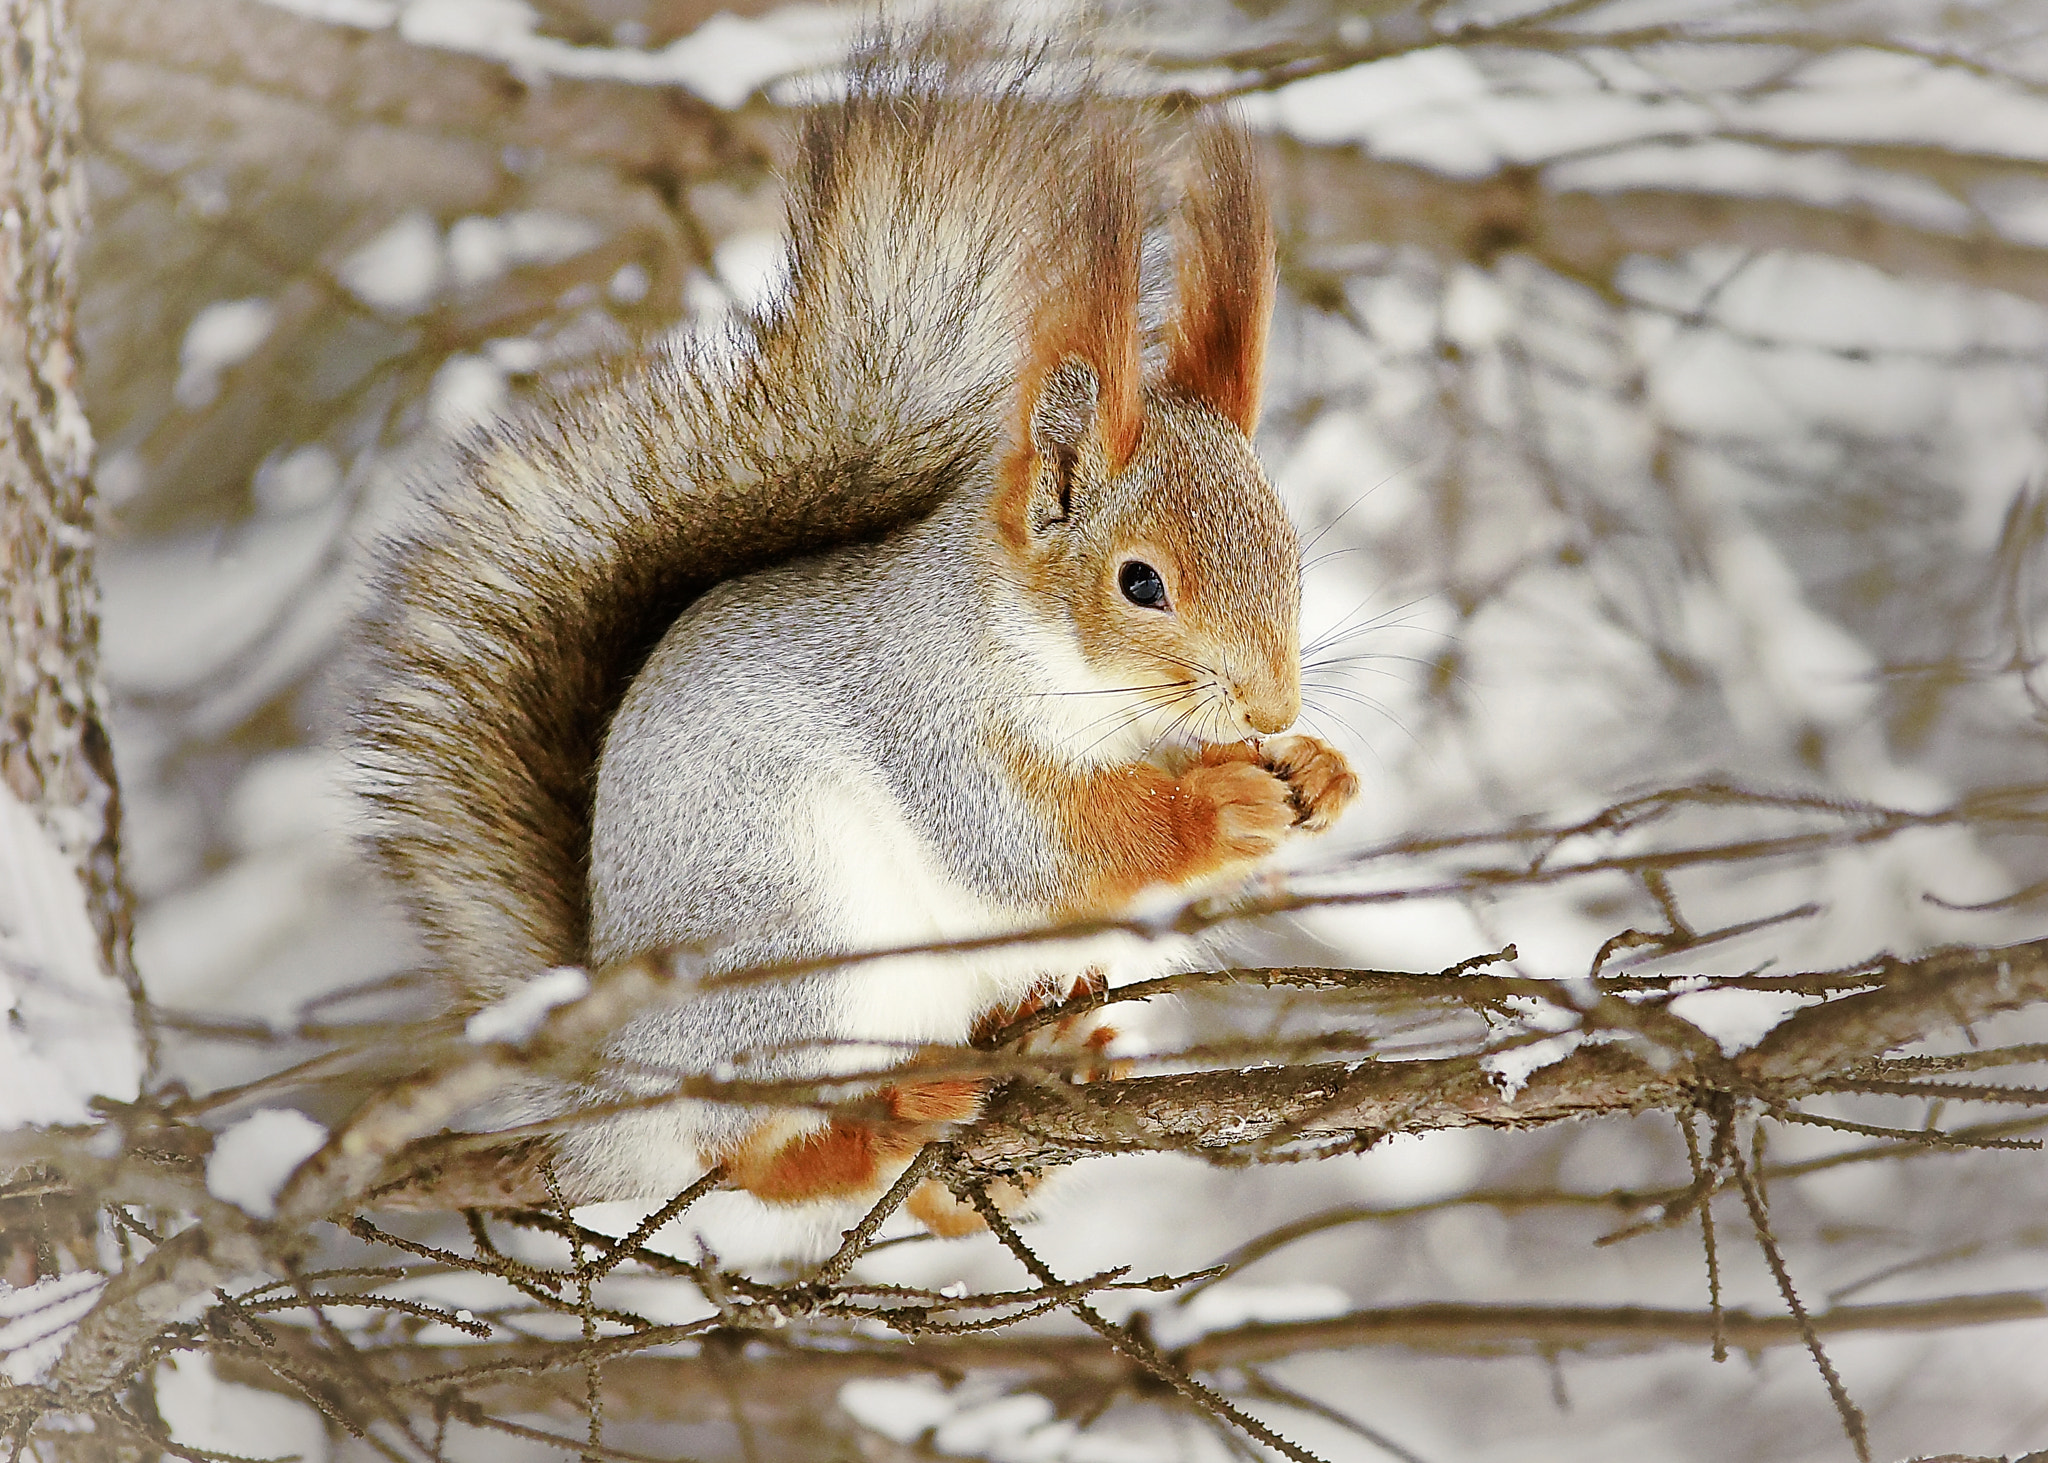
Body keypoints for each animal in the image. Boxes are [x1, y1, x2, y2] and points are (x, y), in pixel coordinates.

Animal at [358, 28, 1359, 1221]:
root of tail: (614, 1095)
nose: (1271, 705)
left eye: (1290, 546)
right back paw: (894, 1118)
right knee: (757, 1151)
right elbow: (1033, 846)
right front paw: (1219, 805)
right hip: (791, 950)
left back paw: (1038, 1061)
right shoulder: (923, 714)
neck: (1092, 694)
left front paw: (1317, 772)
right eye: (1139, 583)